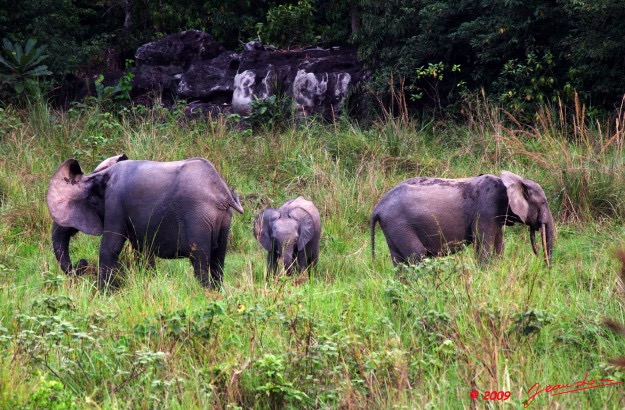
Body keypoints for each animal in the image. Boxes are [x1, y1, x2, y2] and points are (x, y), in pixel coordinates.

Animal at [44, 156, 241, 288]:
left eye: (90, 203)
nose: (82, 264)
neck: (99, 176)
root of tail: (221, 192)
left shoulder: (115, 204)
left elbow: (110, 247)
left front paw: (102, 295)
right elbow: (143, 251)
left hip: (197, 217)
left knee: (199, 260)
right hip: (223, 219)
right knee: (218, 260)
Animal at [368, 170, 552, 266]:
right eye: (543, 202)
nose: (545, 267)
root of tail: (377, 208)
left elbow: (499, 247)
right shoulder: (486, 211)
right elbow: (484, 247)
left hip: (392, 227)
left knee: (399, 262)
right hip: (400, 224)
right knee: (417, 256)